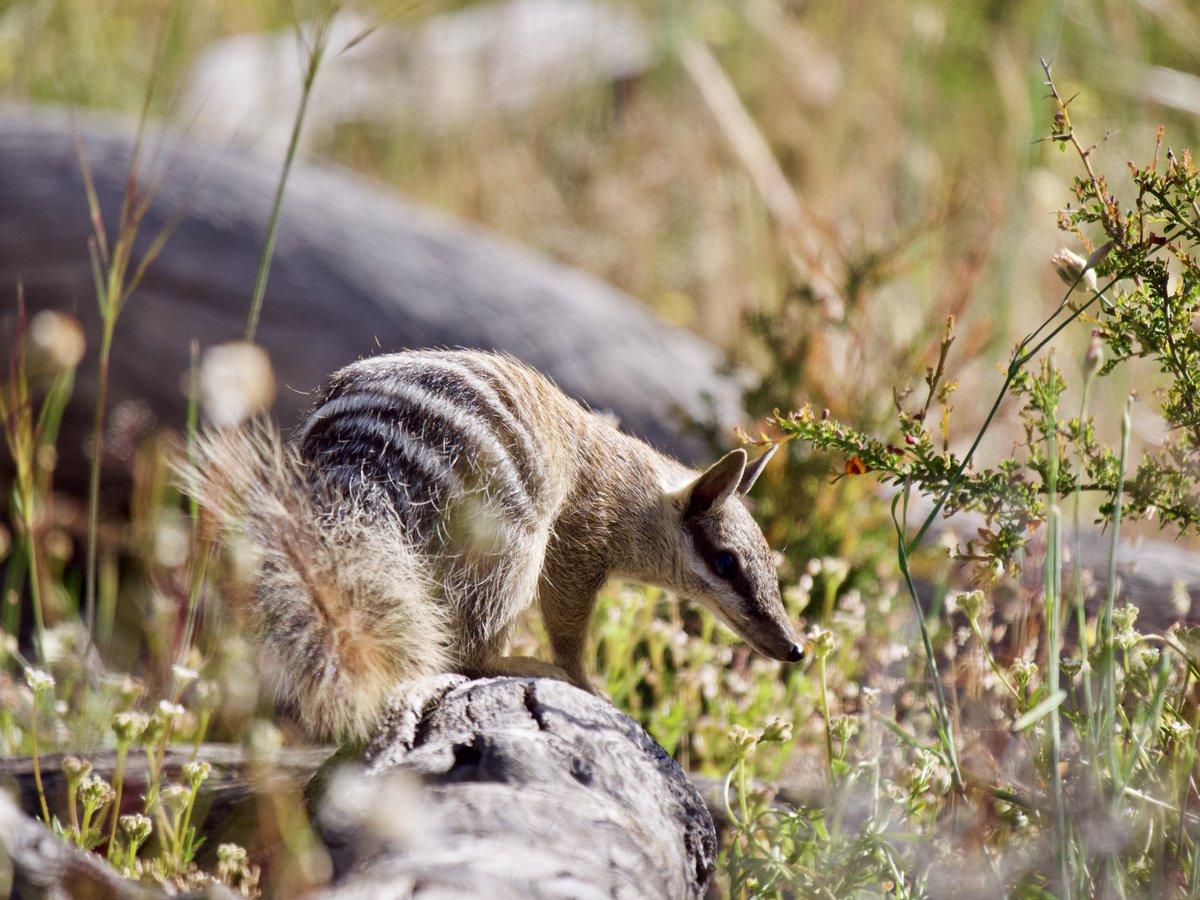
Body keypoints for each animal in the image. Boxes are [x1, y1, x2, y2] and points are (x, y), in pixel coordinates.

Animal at [187, 349, 802, 740]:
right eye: (725, 561)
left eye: (769, 565)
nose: (795, 648)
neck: (632, 489)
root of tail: (358, 464)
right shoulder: (577, 545)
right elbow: (569, 628)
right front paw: (587, 682)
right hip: (513, 544)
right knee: (475, 649)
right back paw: (522, 662)